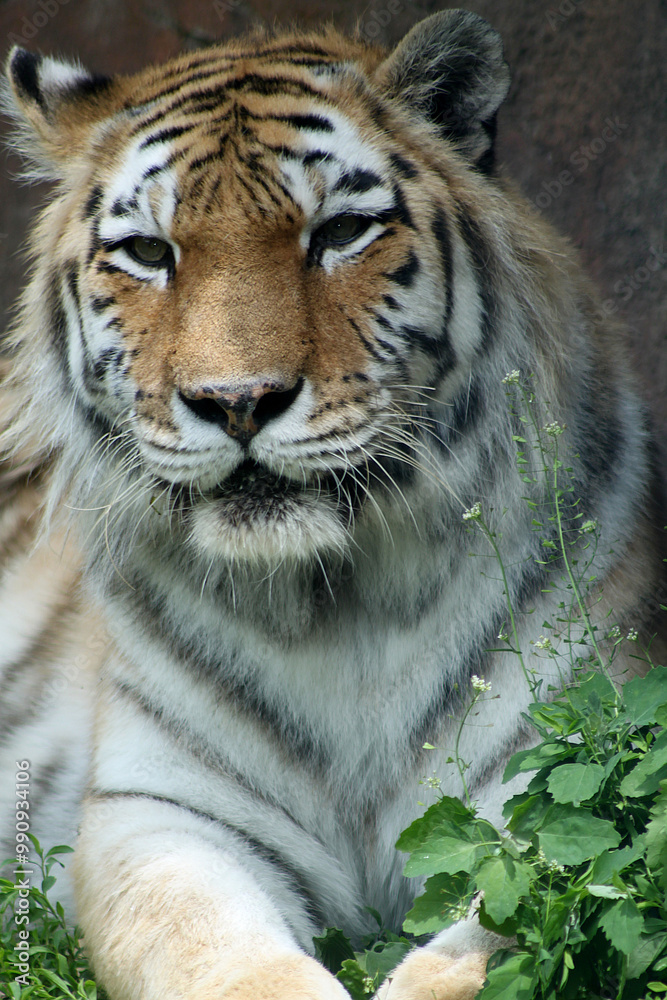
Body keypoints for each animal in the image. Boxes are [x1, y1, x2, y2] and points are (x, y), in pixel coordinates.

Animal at [0, 8, 663, 999]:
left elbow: (499, 934)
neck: (334, 605)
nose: (237, 401)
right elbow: (216, 954)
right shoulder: (160, 813)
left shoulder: (565, 782)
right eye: (150, 253)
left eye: (341, 232)